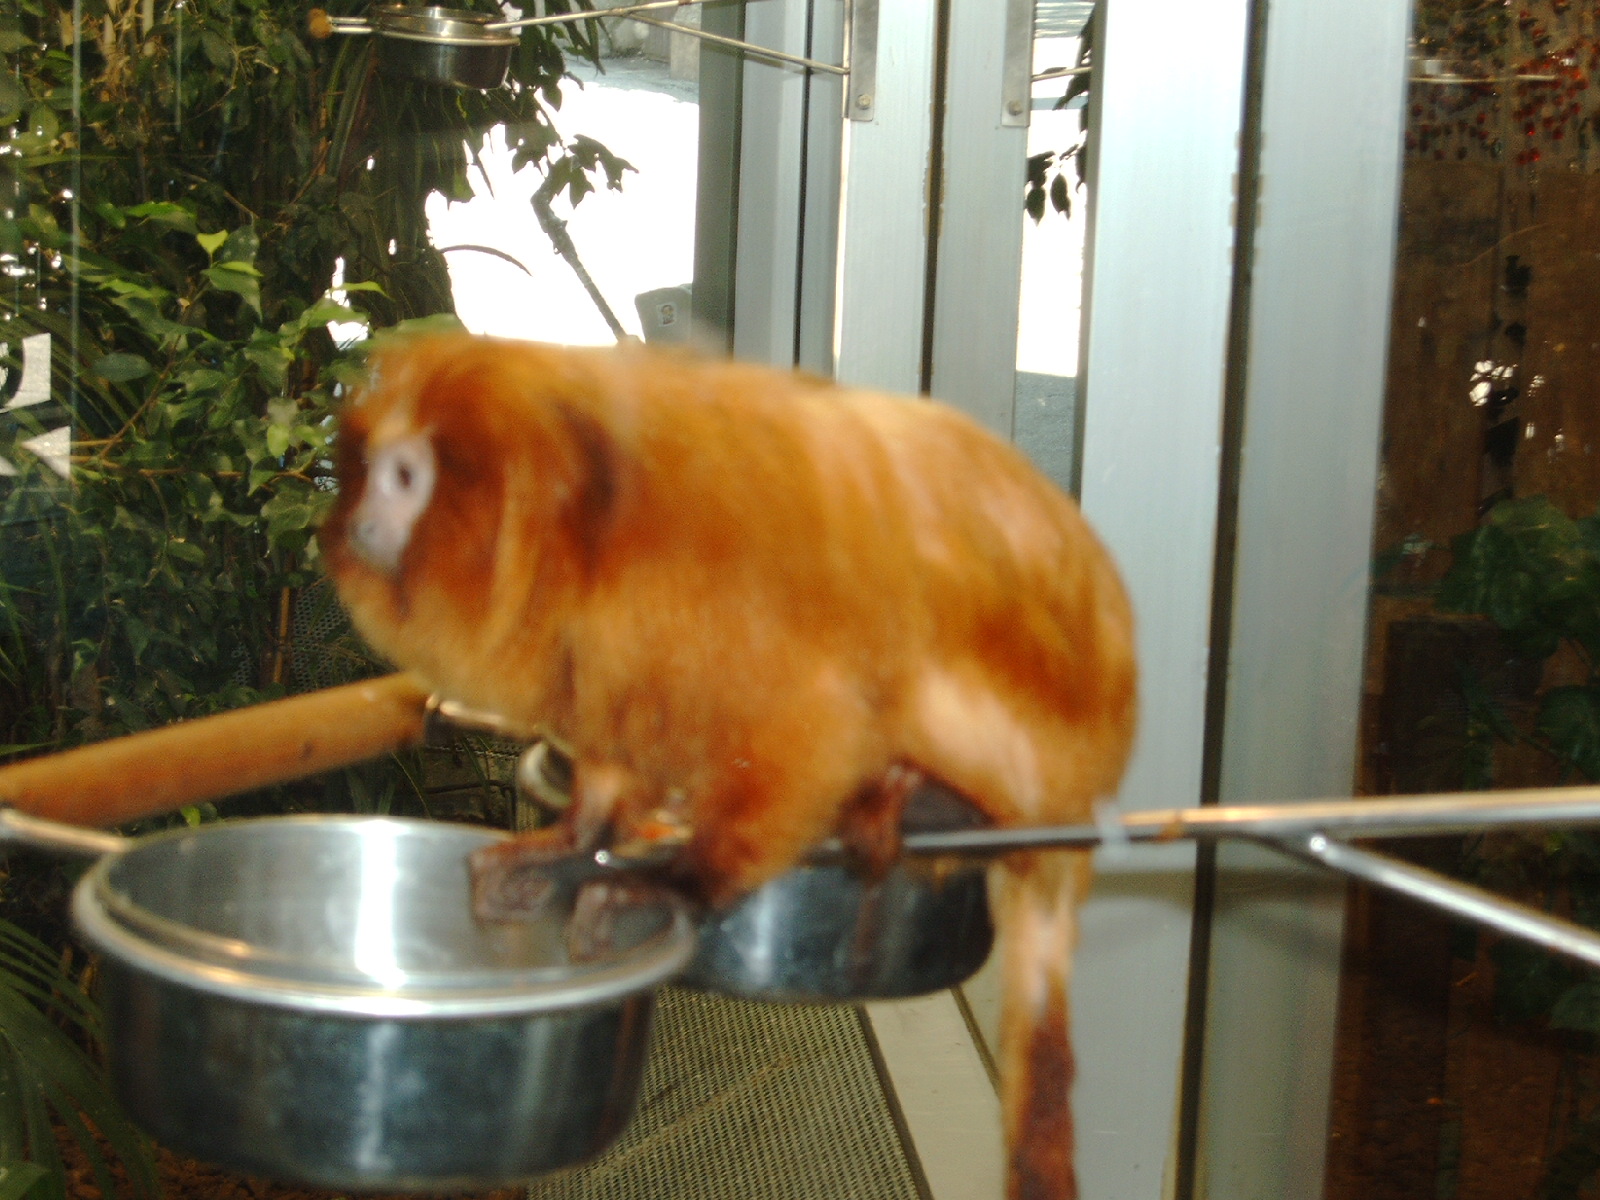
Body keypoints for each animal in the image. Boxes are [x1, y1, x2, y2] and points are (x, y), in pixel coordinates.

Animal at [320, 331, 1137, 1200]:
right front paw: (572, 842)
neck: (589, 526)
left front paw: (679, 881)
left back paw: (921, 805)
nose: (362, 522)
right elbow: (613, 749)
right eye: (368, 472)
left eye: (405, 478)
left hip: (1028, 739)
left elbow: (812, 727)